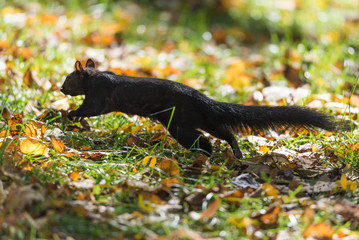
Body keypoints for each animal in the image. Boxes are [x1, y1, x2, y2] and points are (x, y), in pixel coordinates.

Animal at [60, 59, 336, 158]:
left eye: (68, 78)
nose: (61, 89)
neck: (95, 77)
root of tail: (202, 99)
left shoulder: (98, 96)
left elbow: (89, 108)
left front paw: (70, 114)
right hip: (203, 120)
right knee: (225, 132)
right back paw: (236, 153)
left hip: (180, 124)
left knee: (205, 141)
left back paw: (207, 155)